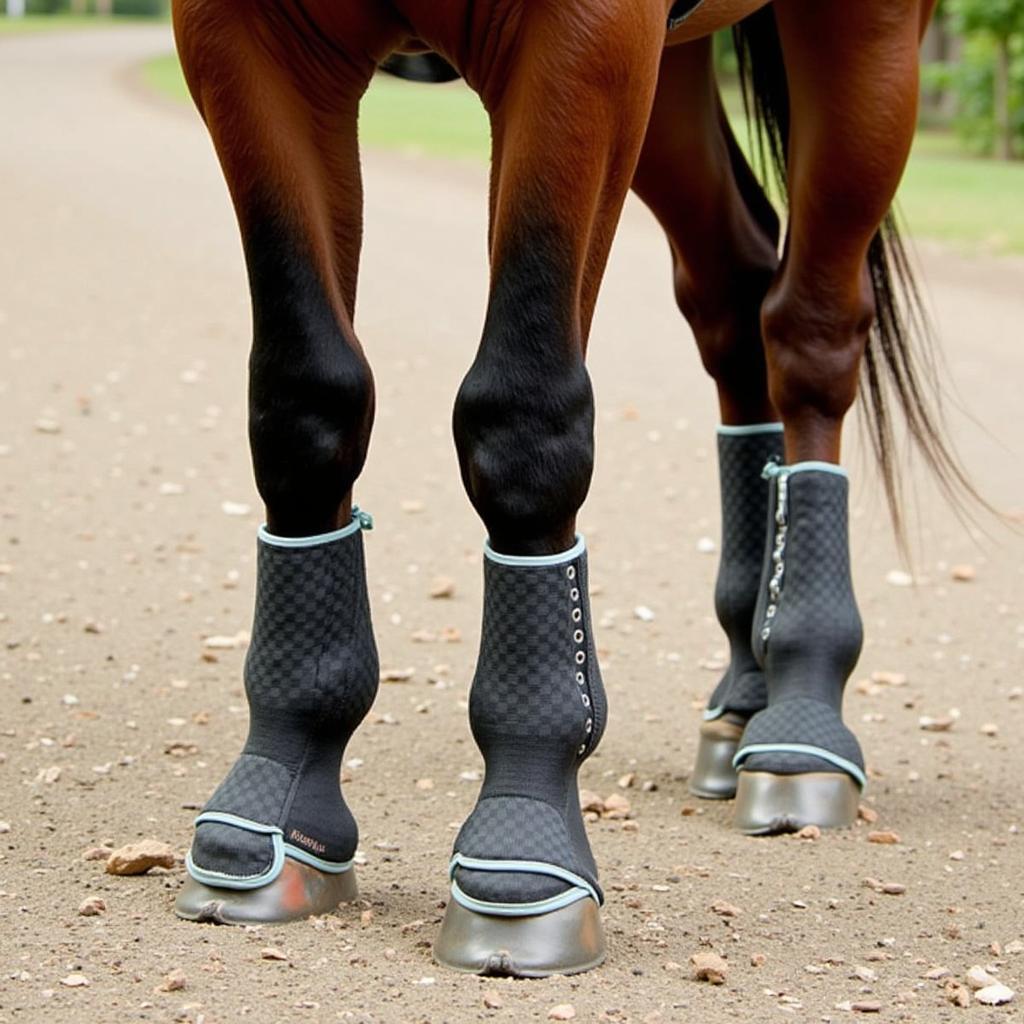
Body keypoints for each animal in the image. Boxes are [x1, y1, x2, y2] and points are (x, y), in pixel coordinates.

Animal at [165, 0, 950, 978]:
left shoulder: (584, 41)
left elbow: (523, 416)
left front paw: (522, 844)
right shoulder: (241, 44)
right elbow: (304, 401)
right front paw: (274, 808)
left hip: (862, 39)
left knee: (810, 334)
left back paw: (802, 706)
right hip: (674, 88)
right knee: (735, 298)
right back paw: (748, 685)